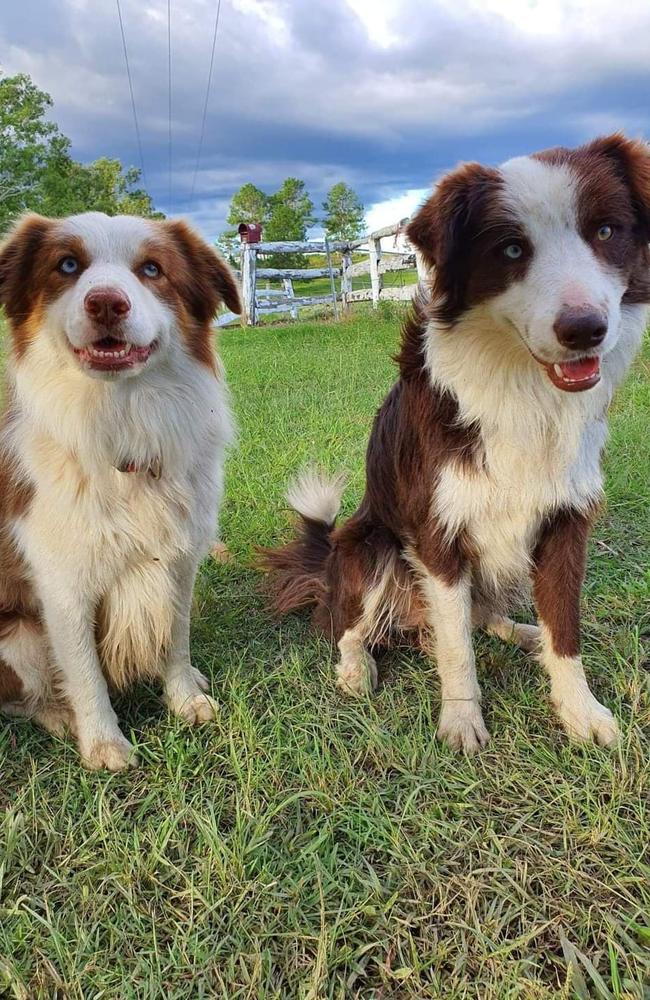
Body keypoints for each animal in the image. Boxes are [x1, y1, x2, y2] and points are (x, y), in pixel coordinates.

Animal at [0, 213, 240, 772]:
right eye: (67, 265)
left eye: (152, 269)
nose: (106, 302)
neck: (121, 421)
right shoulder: (62, 584)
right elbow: (84, 671)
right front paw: (104, 743)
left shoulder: (179, 559)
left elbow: (175, 639)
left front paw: (185, 699)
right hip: (16, 638)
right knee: (22, 698)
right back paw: (59, 716)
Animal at [264, 135, 648, 752]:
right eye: (512, 249)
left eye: (606, 231)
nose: (586, 330)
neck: (521, 386)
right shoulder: (437, 534)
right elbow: (457, 648)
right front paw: (463, 722)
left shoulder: (566, 520)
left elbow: (564, 628)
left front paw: (579, 711)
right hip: (372, 549)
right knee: (347, 624)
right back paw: (356, 668)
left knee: (482, 617)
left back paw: (524, 632)